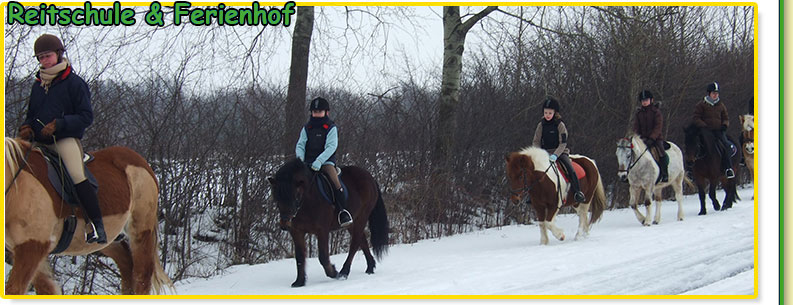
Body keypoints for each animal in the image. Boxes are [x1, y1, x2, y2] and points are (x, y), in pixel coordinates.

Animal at [4, 137, 172, 294]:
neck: (18, 187)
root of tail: (140, 161)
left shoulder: (31, 247)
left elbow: (14, 289)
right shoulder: (24, 250)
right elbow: (46, 289)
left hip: (141, 230)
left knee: (142, 275)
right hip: (109, 239)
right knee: (126, 264)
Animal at [268, 158, 388, 286]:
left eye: (296, 196)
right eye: (277, 198)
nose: (285, 224)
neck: (307, 202)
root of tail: (369, 176)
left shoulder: (322, 230)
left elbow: (323, 257)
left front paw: (333, 272)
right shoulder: (297, 232)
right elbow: (300, 257)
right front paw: (299, 282)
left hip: (361, 217)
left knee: (355, 243)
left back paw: (344, 272)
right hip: (352, 222)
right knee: (362, 241)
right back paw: (370, 267)